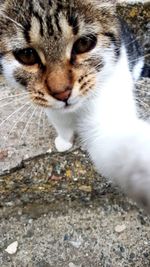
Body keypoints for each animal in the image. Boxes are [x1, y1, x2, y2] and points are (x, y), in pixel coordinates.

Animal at [0, 0, 149, 211]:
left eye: (84, 43)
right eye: (26, 54)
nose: (62, 92)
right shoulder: (50, 107)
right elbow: (60, 122)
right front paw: (64, 141)